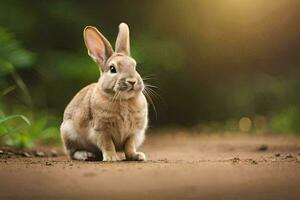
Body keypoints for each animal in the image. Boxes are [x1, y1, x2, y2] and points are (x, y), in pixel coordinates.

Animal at [59, 22, 148, 162]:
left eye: (135, 66)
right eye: (112, 69)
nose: (132, 81)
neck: (123, 100)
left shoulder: (134, 133)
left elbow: (129, 146)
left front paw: (136, 156)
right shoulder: (101, 130)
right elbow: (107, 144)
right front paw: (111, 158)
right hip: (68, 135)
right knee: (72, 153)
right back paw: (86, 155)